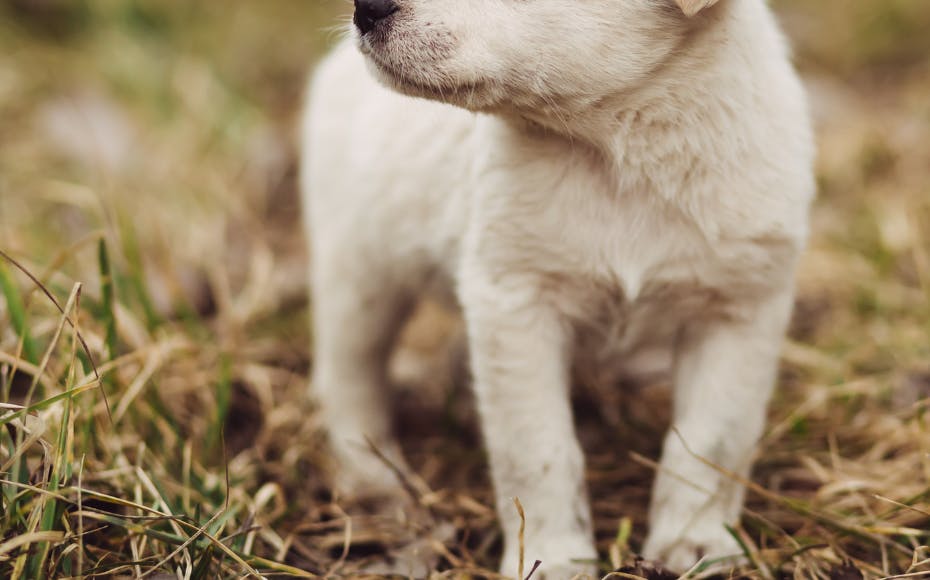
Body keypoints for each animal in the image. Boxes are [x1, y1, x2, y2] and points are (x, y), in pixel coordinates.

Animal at [300, 0, 812, 576]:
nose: (366, 9)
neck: (621, 154)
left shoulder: (739, 309)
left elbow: (711, 441)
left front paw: (694, 546)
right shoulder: (517, 305)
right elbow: (537, 449)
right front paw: (552, 557)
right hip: (358, 279)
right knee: (349, 381)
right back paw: (373, 480)